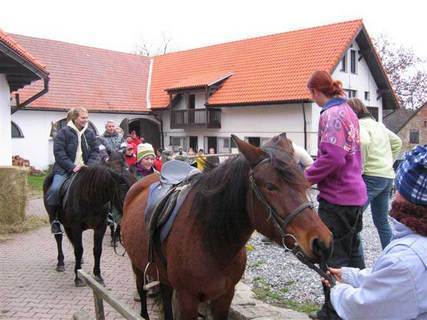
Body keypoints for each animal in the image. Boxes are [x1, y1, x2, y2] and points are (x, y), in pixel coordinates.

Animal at [120, 136, 334, 320]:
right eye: (270, 186)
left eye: (304, 182)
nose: (322, 242)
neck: (212, 244)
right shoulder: (187, 298)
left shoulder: (225, 295)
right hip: (137, 264)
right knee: (140, 289)